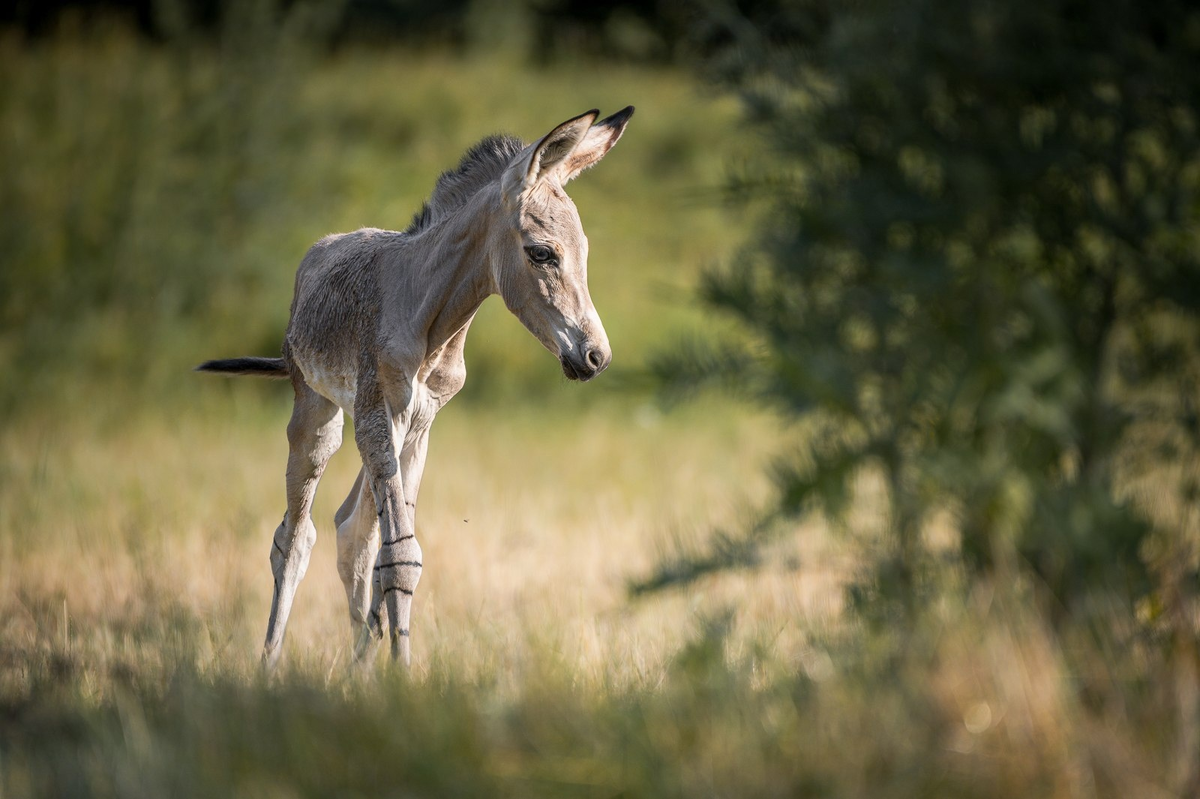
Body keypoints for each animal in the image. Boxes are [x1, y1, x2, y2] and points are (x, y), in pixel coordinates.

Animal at [196, 105, 633, 667]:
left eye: (584, 250)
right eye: (541, 254)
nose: (596, 357)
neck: (432, 317)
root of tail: (320, 249)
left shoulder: (420, 424)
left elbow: (392, 554)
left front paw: (388, 669)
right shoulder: (379, 416)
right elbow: (399, 554)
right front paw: (402, 676)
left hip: (376, 431)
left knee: (351, 531)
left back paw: (356, 667)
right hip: (320, 415)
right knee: (294, 537)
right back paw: (269, 664)